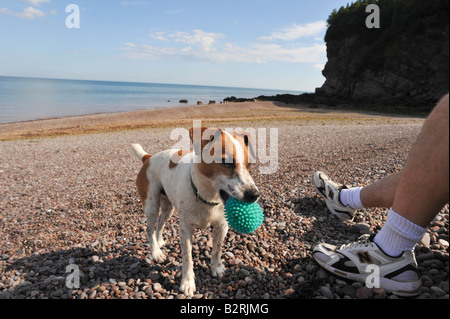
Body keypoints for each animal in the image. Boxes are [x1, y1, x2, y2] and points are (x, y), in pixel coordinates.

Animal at [131, 127, 260, 298]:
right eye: (226, 162)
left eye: (250, 164)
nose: (254, 195)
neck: (208, 196)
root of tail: (148, 157)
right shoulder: (185, 229)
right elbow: (188, 258)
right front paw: (187, 283)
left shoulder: (222, 226)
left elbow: (217, 249)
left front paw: (216, 268)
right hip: (152, 205)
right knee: (149, 228)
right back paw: (156, 252)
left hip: (168, 208)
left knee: (160, 224)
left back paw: (160, 242)